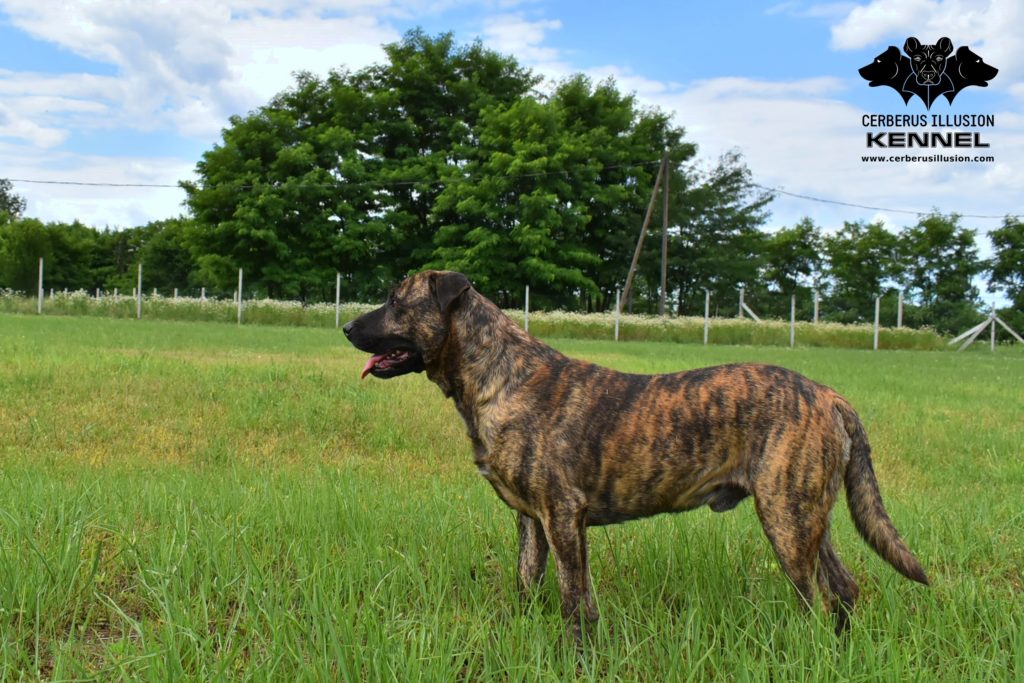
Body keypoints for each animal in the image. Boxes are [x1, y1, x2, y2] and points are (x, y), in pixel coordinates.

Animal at [344, 270, 929, 638]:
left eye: (396, 301)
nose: (346, 326)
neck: (498, 374)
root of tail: (831, 396)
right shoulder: (532, 522)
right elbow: (527, 585)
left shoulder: (563, 517)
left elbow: (574, 601)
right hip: (808, 516)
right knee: (844, 589)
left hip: (787, 520)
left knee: (816, 600)